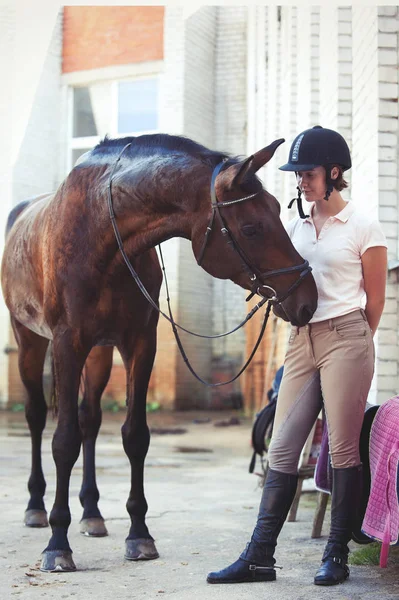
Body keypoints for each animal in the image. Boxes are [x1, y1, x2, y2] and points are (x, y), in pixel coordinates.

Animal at [0, 132, 318, 572]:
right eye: (251, 227)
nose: (308, 300)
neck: (101, 235)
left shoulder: (139, 344)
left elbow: (135, 436)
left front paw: (139, 535)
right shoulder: (67, 343)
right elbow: (62, 441)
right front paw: (57, 544)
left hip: (98, 355)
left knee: (90, 420)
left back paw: (92, 513)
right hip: (31, 341)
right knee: (35, 417)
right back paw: (35, 507)